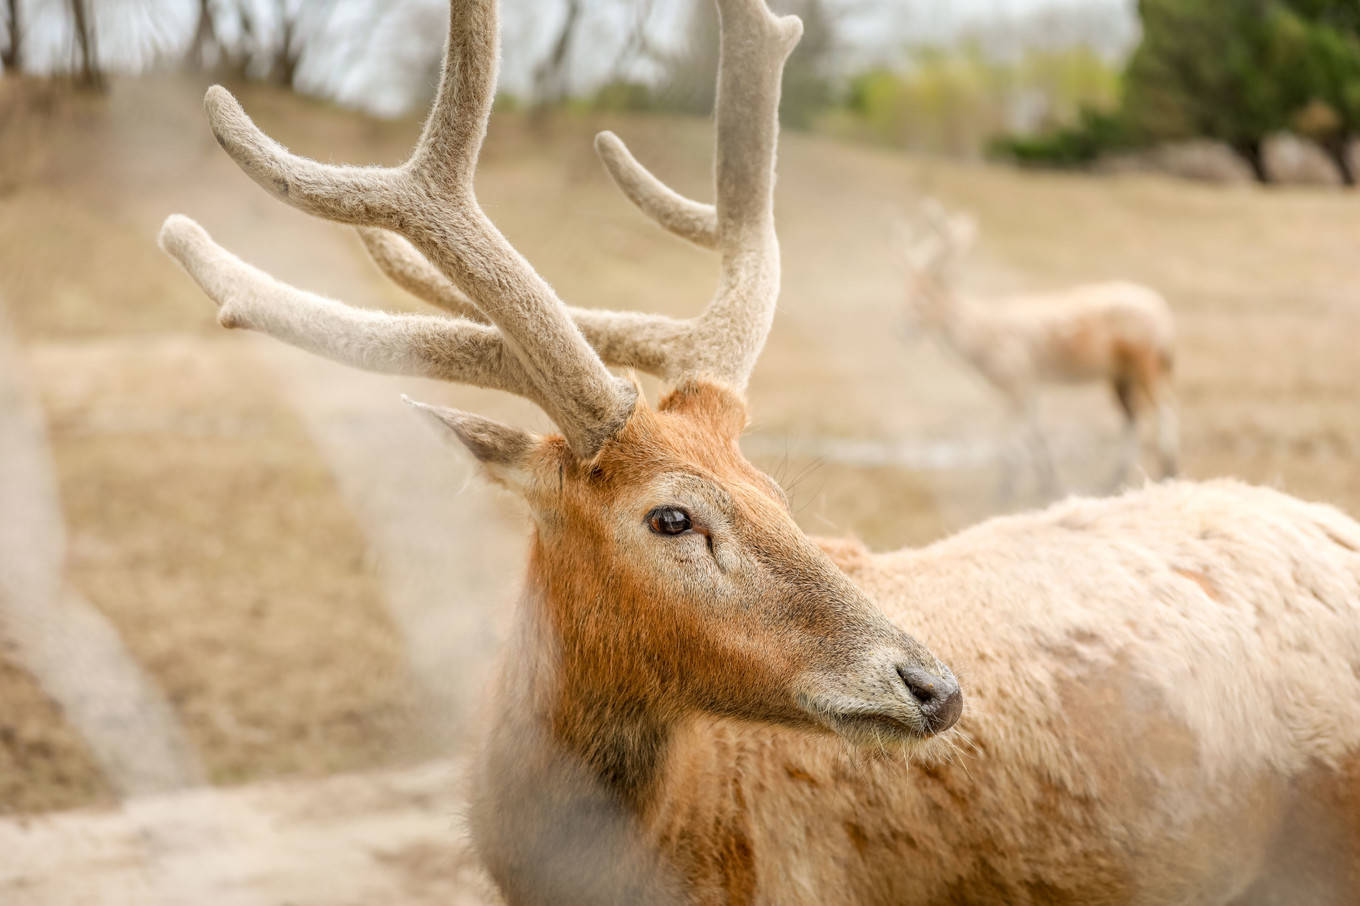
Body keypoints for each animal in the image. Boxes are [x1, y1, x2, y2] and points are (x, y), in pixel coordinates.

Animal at [903, 197, 1180, 497]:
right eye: (906, 296)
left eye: (921, 301)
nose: (900, 329)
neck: (982, 335)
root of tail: (1166, 316)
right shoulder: (1030, 385)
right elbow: (1036, 436)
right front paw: (1048, 483)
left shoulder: (1016, 381)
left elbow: (1014, 441)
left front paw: (1005, 490)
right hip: (1120, 377)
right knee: (1133, 420)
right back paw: (1114, 480)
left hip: (1145, 366)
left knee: (1164, 413)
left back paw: (1168, 471)